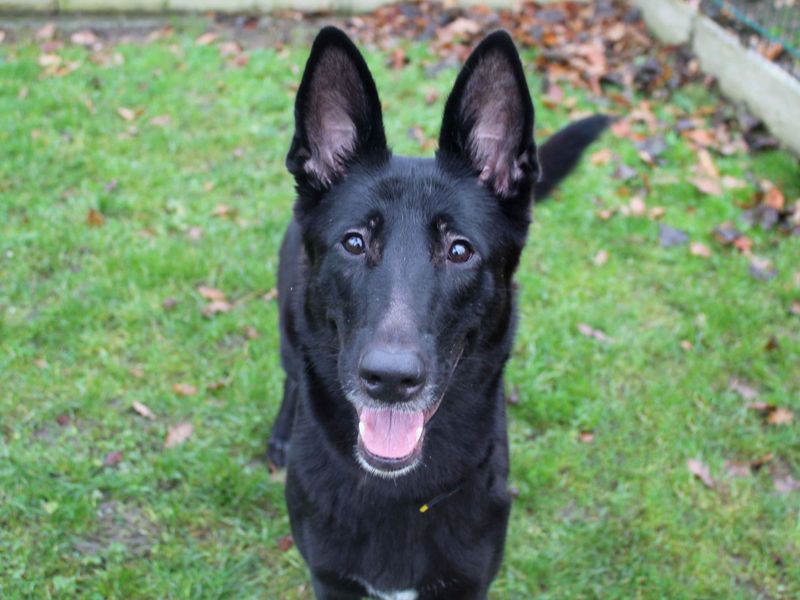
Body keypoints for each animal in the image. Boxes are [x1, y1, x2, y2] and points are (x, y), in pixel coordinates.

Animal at [268, 25, 608, 596]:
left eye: (459, 251)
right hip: (290, 328)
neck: (400, 490)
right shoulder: (329, 579)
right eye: (354, 242)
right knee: (293, 376)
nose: (389, 379)